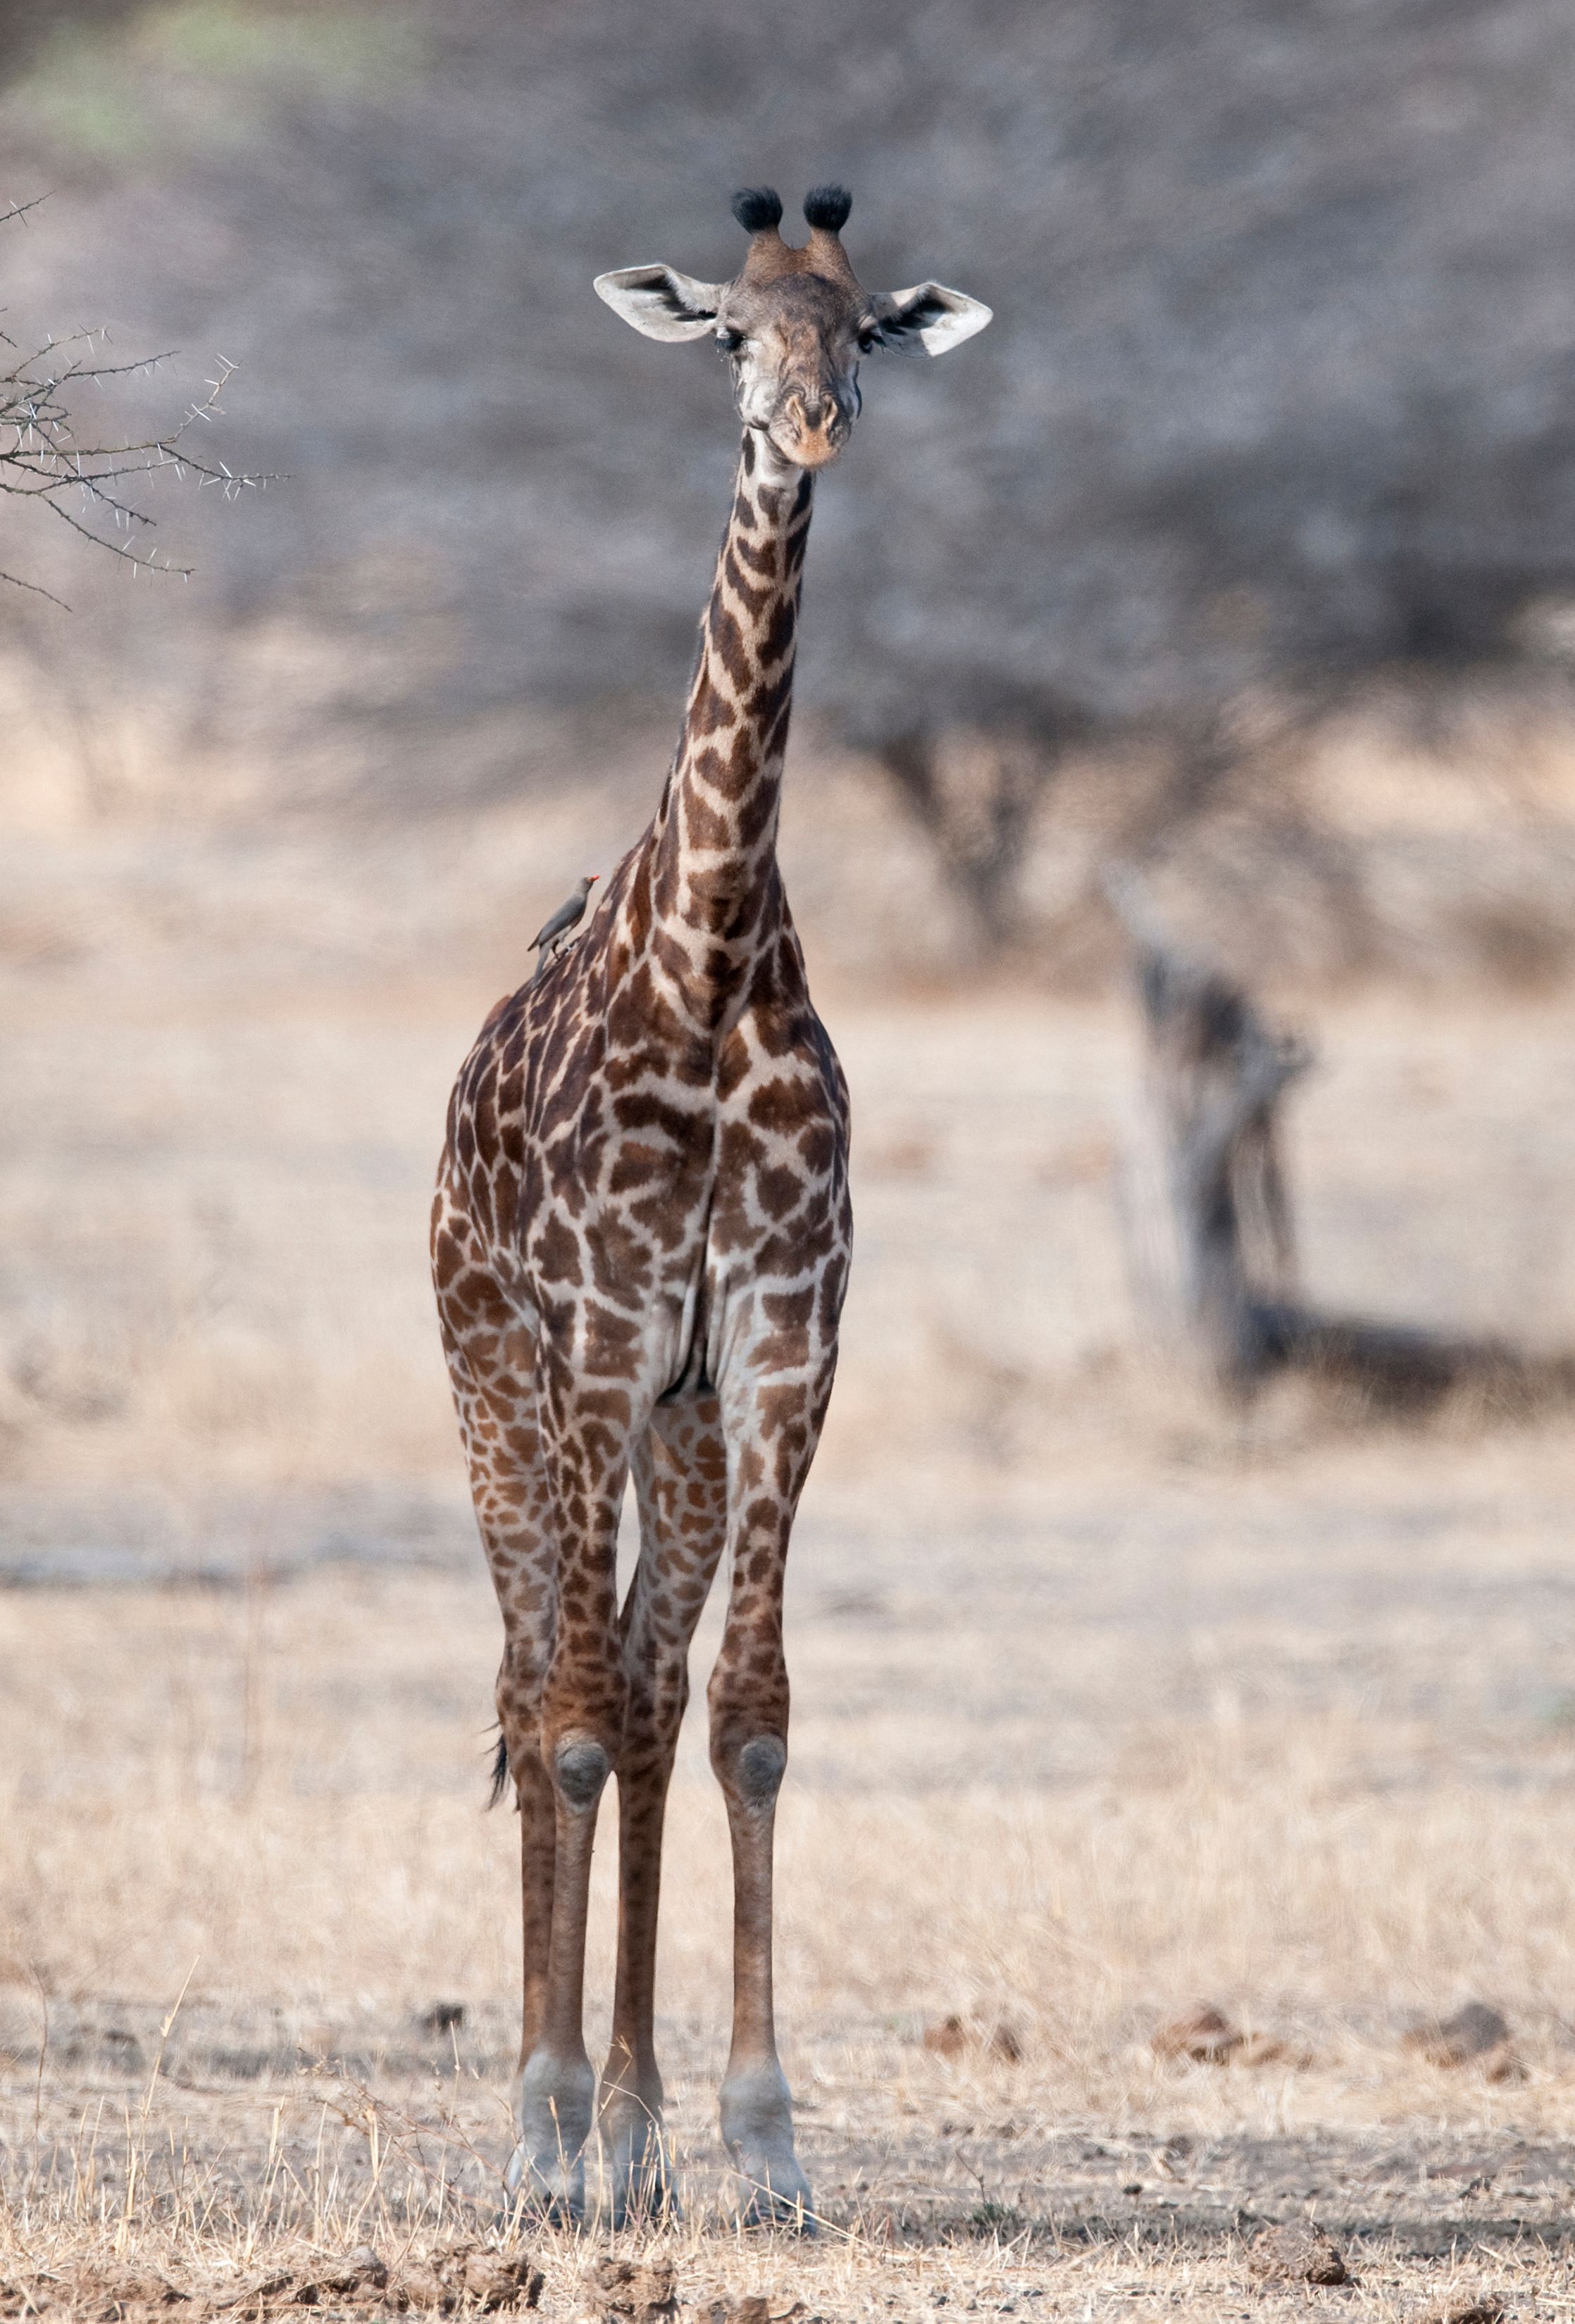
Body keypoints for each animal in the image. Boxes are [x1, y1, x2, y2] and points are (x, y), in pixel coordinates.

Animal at [430, 184, 990, 2229]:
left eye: (866, 327)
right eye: (735, 335)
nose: (811, 426)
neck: (714, 951)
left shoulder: (772, 1345)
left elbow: (743, 1714)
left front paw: (757, 2143)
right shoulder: (597, 1343)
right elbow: (576, 1723)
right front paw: (549, 2146)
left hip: (664, 1428)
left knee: (648, 1684)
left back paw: (638, 2126)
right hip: (498, 1384)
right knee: (538, 1680)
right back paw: (546, 2130)